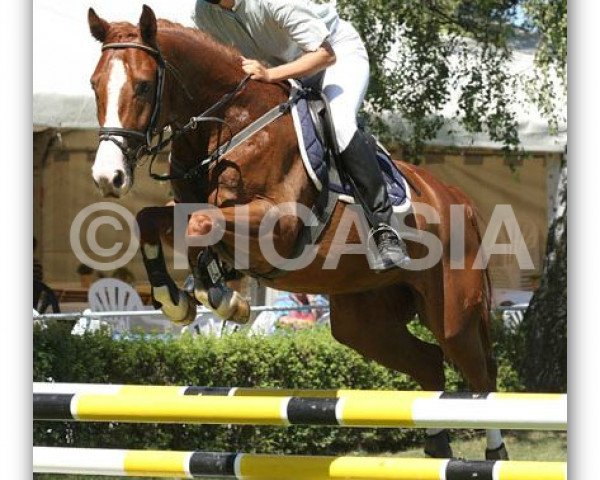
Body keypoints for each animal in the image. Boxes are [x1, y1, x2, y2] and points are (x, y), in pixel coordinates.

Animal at [84, 4, 506, 462]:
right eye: (94, 84)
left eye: (143, 86)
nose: (108, 176)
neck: (229, 124)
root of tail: (457, 199)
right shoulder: (189, 209)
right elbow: (153, 220)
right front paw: (178, 298)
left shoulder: (280, 226)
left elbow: (203, 225)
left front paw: (222, 295)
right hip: (364, 321)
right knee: (429, 364)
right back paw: (438, 447)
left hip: (452, 314)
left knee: (481, 377)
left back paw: (495, 454)